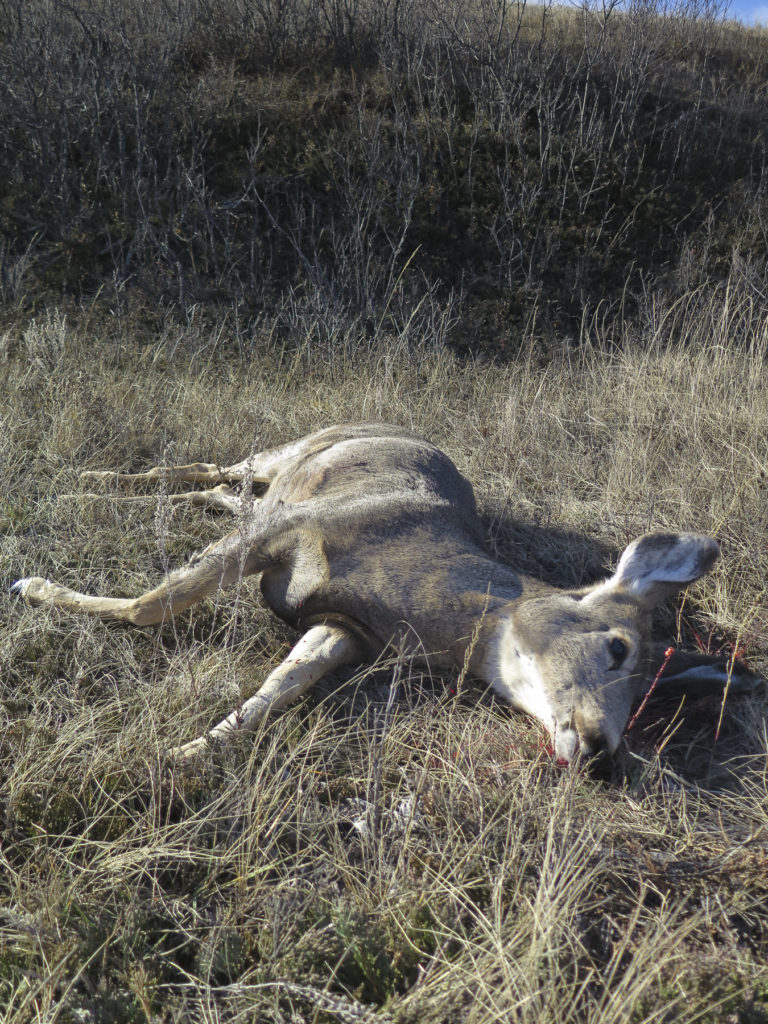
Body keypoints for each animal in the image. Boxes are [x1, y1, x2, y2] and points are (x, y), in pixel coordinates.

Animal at [9, 417, 761, 761]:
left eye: (648, 697)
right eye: (617, 648)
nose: (603, 751)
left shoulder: (345, 630)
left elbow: (273, 695)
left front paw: (188, 752)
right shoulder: (294, 529)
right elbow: (152, 605)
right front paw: (36, 587)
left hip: (264, 493)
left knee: (217, 491)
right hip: (286, 456)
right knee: (208, 468)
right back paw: (88, 484)